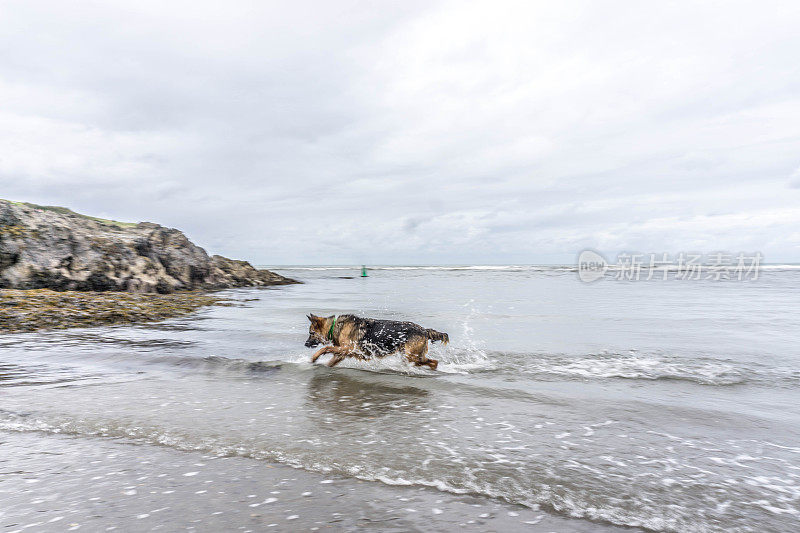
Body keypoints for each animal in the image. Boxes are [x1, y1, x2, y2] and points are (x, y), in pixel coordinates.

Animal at [304, 312, 446, 370]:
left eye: (311, 333)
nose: (305, 344)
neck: (334, 327)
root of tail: (424, 330)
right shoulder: (342, 353)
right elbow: (331, 360)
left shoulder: (348, 348)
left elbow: (325, 348)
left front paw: (314, 358)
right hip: (410, 356)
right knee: (433, 362)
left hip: (412, 356)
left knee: (434, 362)